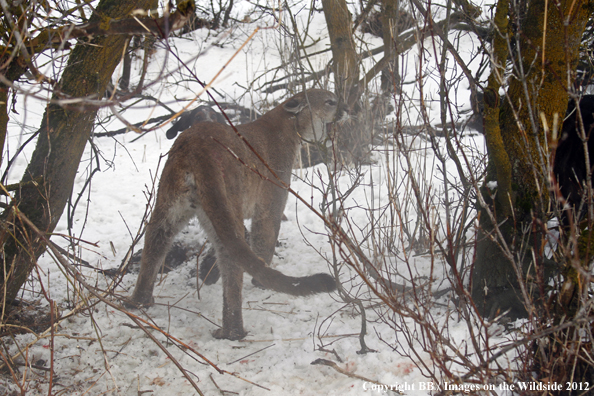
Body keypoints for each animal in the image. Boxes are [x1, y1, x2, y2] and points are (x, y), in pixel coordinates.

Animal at [127, 90, 344, 340]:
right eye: (330, 101)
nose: (346, 109)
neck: (288, 126)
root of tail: (196, 146)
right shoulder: (269, 207)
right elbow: (265, 240)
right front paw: (260, 283)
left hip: (170, 206)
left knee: (155, 240)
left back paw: (139, 302)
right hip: (227, 207)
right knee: (231, 259)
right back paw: (232, 331)